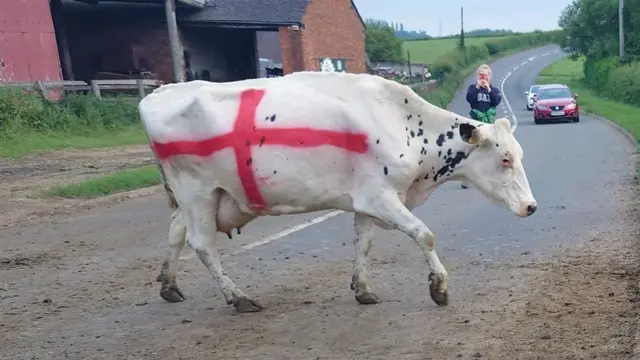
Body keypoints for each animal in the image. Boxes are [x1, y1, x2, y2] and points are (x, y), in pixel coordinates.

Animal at [138, 71, 536, 314]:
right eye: (504, 159)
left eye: (519, 155)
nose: (531, 206)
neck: (404, 124)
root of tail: (161, 91)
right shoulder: (382, 197)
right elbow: (424, 234)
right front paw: (438, 287)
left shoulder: (366, 200)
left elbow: (363, 243)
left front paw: (363, 290)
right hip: (197, 192)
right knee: (202, 244)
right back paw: (239, 298)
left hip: (198, 196)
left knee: (176, 235)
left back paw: (169, 285)